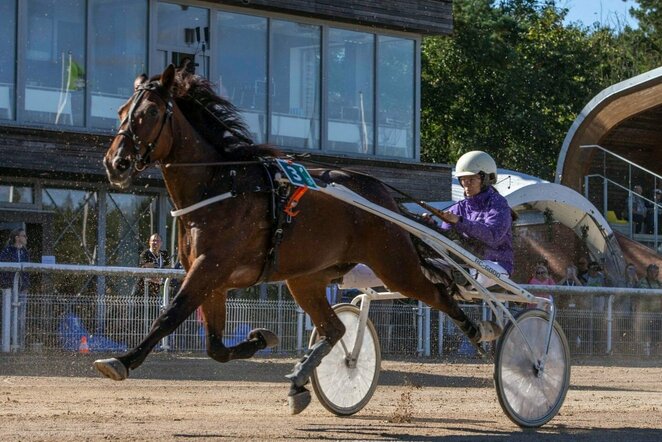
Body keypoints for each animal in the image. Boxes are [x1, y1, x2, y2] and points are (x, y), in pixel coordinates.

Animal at [97, 64, 492, 412]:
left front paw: (122, 360)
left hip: (394, 264)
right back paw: (300, 381)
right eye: (121, 111)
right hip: (306, 277)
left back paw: (479, 332)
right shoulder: (213, 278)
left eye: (149, 112)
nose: (115, 163)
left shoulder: (210, 268)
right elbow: (215, 347)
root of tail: (383, 196)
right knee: (334, 328)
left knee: (438, 294)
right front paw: (260, 338)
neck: (221, 185)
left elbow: (170, 315)